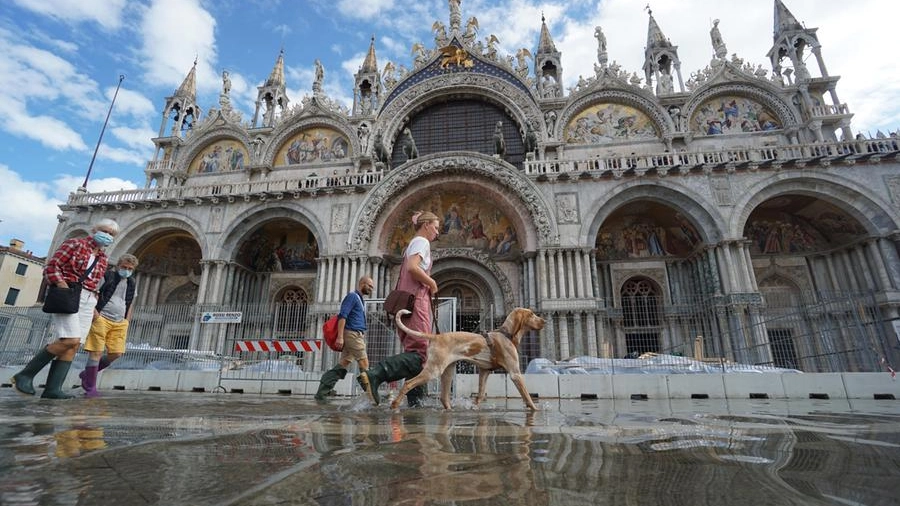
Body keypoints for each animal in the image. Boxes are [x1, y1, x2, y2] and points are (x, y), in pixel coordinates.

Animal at [392, 306, 544, 410]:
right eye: (531, 314)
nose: (544, 321)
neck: (506, 334)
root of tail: (436, 336)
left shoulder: (484, 371)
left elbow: (480, 394)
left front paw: (474, 407)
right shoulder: (515, 373)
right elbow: (527, 396)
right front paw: (535, 409)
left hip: (447, 372)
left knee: (444, 397)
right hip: (434, 370)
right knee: (408, 383)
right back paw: (394, 405)